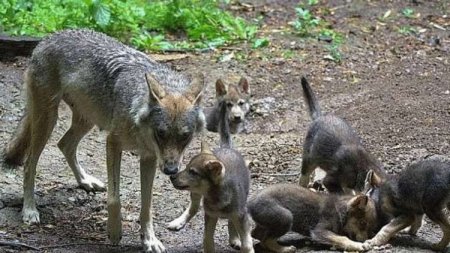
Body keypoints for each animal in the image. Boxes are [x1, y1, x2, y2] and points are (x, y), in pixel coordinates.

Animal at [1, 28, 205, 252]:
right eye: (161, 133)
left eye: (185, 136)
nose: (170, 170)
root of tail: (50, 36)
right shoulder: (113, 144)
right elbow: (115, 198)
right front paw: (115, 231)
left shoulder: (149, 158)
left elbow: (147, 205)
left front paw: (149, 240)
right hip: (47, 120)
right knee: (30, 164)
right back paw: (29, 210)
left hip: (86, 121)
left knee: (64, 145)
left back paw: (85, 181)